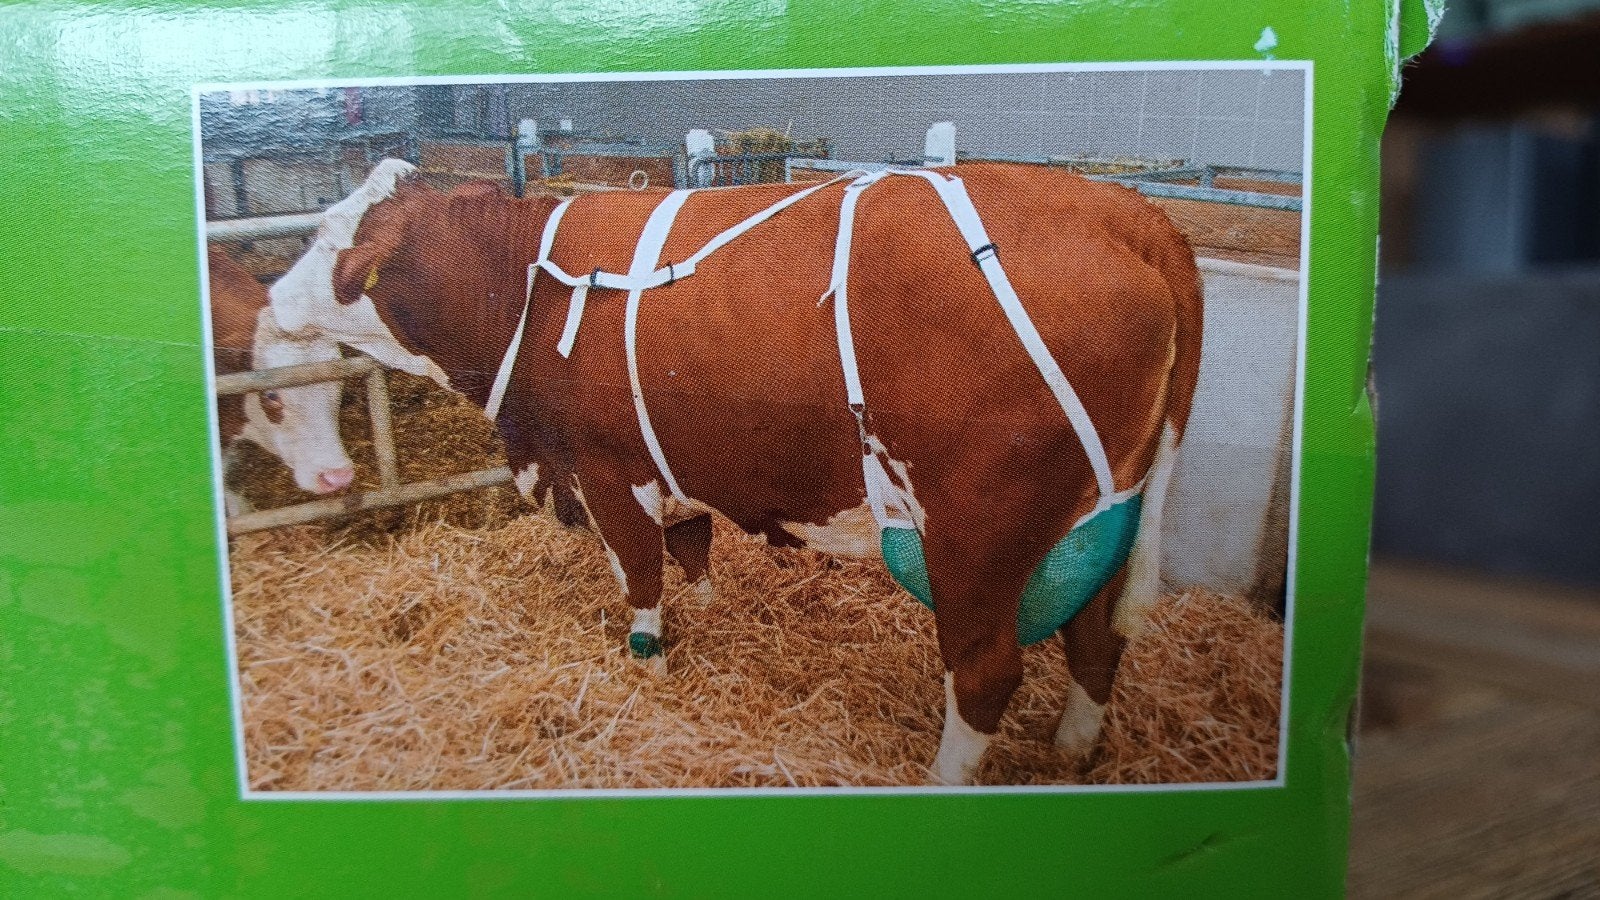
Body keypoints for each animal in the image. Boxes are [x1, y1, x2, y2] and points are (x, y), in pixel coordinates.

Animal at [268, 158, 1202, 785]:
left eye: (326, 239)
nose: (272, 301)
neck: (526, 287)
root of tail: (1128, 213)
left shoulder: (605, 467)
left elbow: (642, 576)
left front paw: (647, 667)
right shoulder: (668, 458)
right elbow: (691, 546)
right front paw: (715, 616)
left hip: (977, 532)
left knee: (985, 672)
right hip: (1105, 510)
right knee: (1098, 633)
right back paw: (1073, 750)